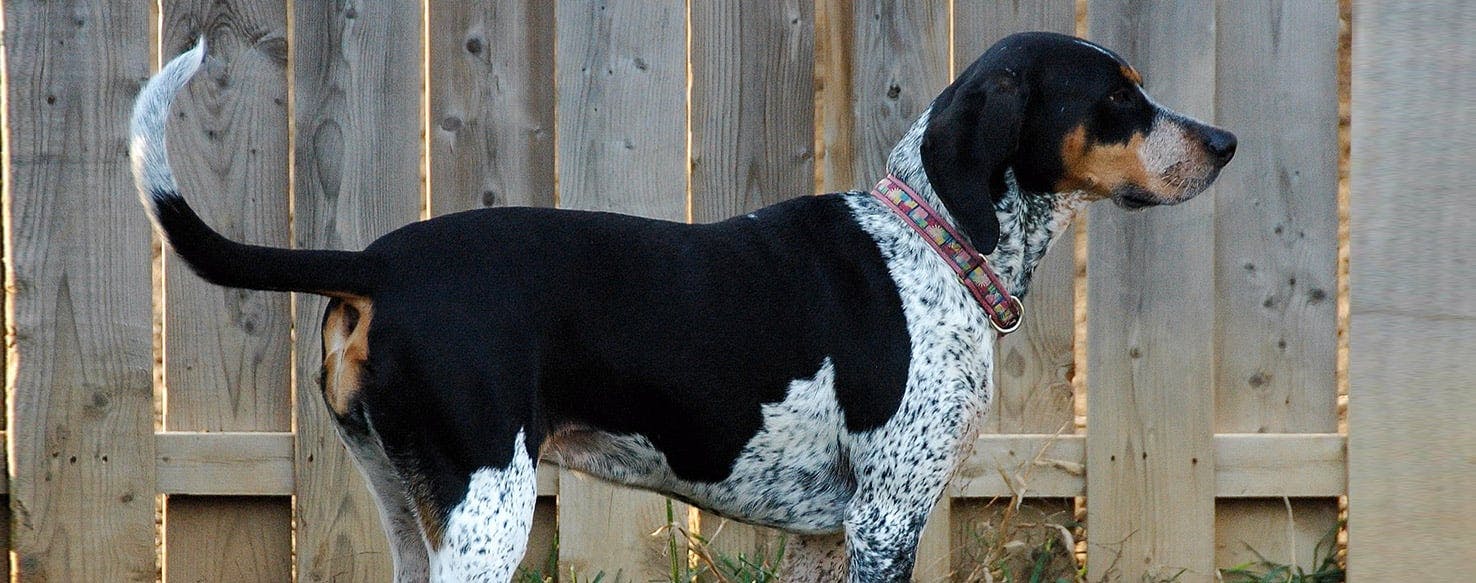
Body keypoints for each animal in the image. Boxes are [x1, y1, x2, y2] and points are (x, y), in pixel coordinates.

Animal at [129, 30, 1233, 583]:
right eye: (1121, 96)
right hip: (488, 514)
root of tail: (377, 261)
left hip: (409, 513)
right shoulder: (888, 517)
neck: (930, 240)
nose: (1225, 141)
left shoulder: (828, 537)